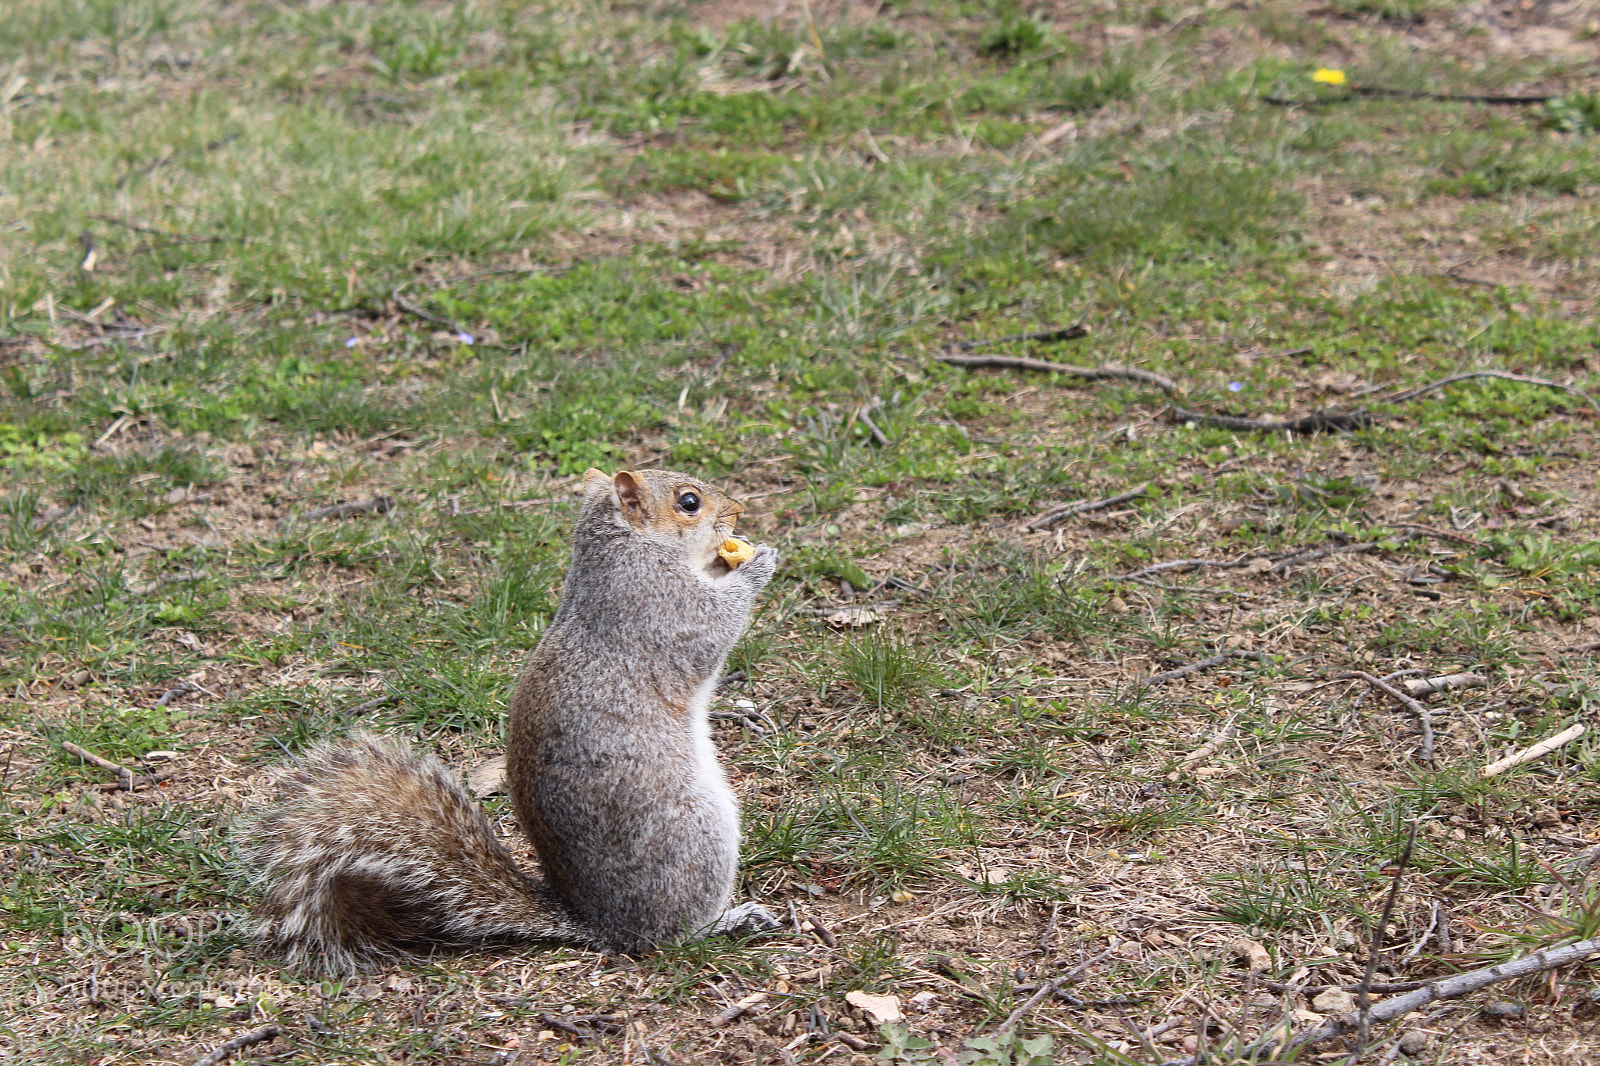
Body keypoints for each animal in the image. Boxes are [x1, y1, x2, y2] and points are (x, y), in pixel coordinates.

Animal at [235, 468, 782, 972]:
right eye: (689, 502)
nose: (738, 510)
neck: (627, 548)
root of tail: (602, 925)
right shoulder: (658, 606)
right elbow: (710, 628)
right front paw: (760, 562)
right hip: (693, 834)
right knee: (672, 934)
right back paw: (730, 920)